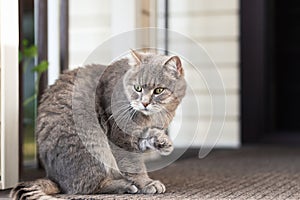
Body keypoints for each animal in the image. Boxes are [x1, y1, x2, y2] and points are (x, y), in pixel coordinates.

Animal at [10, 50, 186, 199]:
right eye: (137, 88)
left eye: (159, 90)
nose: (144, 103)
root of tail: (53, 177)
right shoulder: (120, 137)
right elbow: (134, 165)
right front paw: (147, 183)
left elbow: (148, 136)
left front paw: (163, 142)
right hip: (93, 144)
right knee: (85, 187)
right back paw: (125, 185)